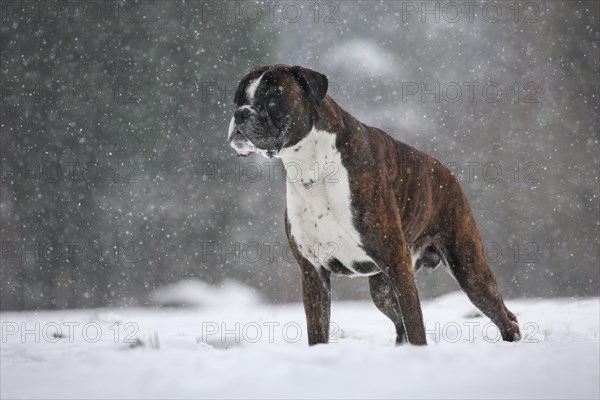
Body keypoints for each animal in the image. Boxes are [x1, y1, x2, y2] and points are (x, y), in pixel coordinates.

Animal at [227, 65, 516, 344]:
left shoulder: (397, 263)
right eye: (237, 100)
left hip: (468, 270)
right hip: (382, 290)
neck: (312, 167)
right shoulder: (313, 272)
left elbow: (416, 325)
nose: (240, 114)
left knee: (504, 317)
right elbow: (318, 331)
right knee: (399, 324)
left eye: (271, 98)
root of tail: (448, 174)